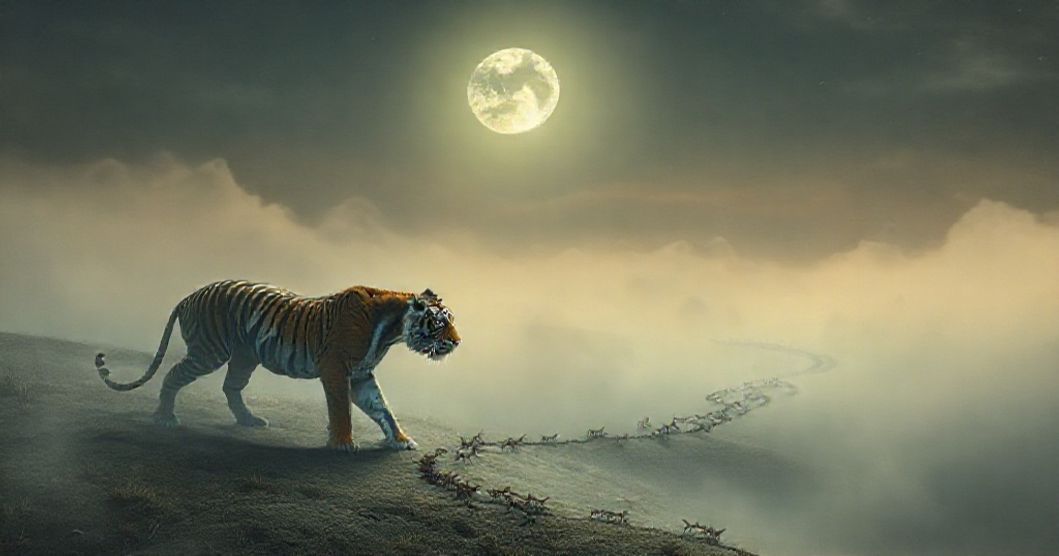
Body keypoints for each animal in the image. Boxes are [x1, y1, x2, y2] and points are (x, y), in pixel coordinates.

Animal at [94, 280, 460, 451]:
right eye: (439, 323)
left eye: (451, 320)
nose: (457, 342)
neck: (391, 331)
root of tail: (187, 297)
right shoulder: (336, 369)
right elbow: (341, 408)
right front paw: (343, 443)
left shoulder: (360, 375)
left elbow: (382, 408)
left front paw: (401, 440)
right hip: (209, 352)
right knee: (173, 375)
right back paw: (164, 417)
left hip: (245, 357)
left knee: (230, 386)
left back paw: (249, 420)